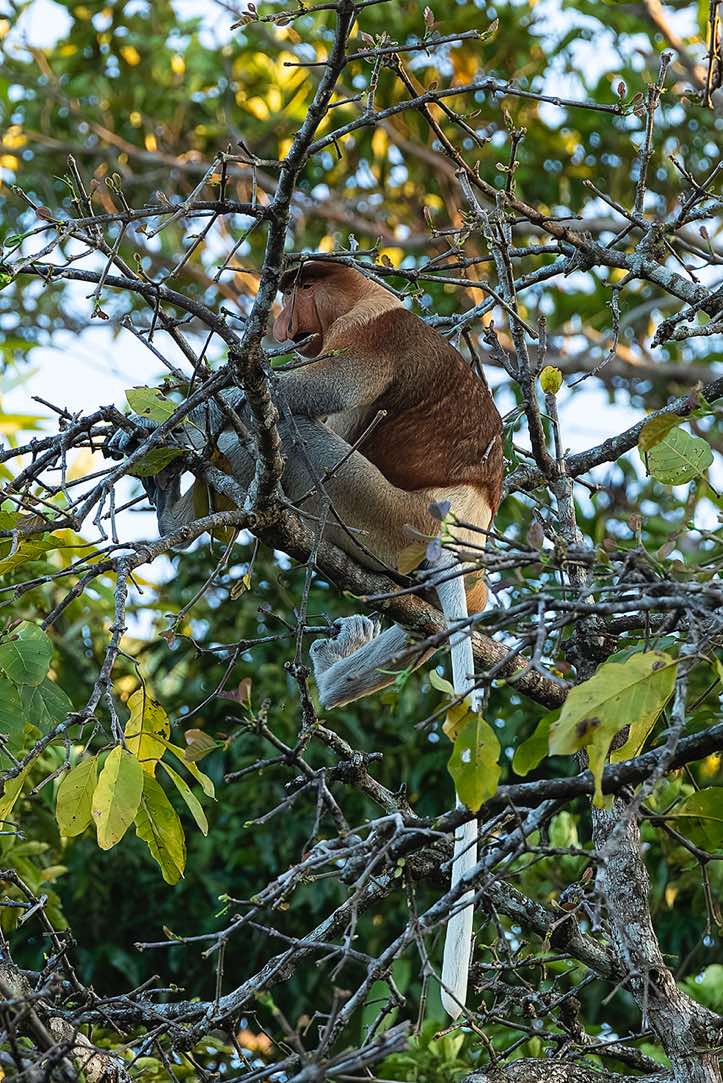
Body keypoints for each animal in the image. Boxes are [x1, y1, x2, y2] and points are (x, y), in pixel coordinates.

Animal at [105, 259, 504, 1018]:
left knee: (291, 426)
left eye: (296, 290)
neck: (370, 300)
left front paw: (161, 419)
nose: (275, 322)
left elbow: (307, 397)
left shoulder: (376, 337)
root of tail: (454, 537)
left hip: (380, 514)